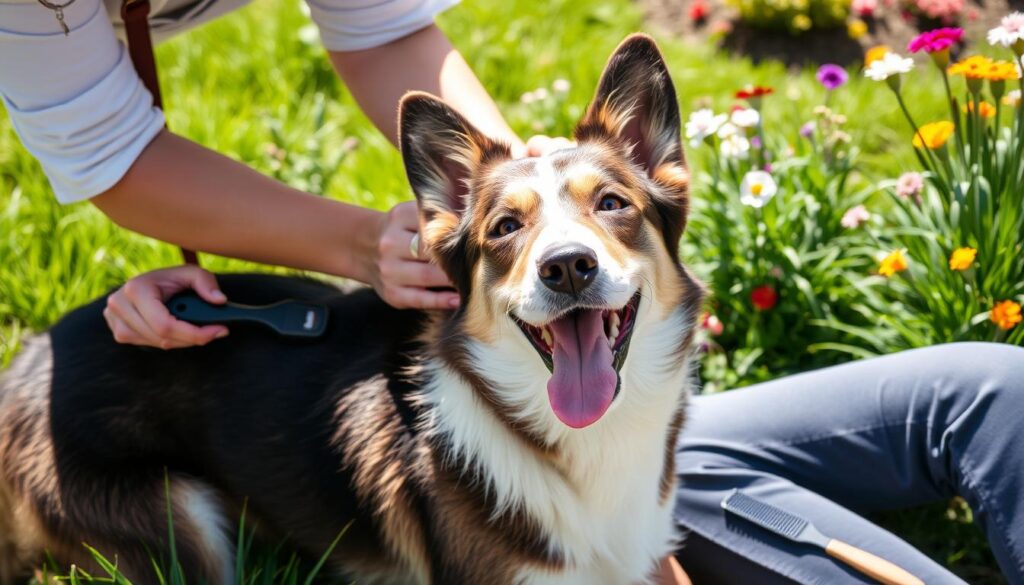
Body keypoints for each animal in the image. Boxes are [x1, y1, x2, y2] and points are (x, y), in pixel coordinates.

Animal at [0, 34, 704, 581]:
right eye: (505, 227)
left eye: (611, 204)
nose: (566, 266)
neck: (584, 444)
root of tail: (25, 365)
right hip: (181, 523)